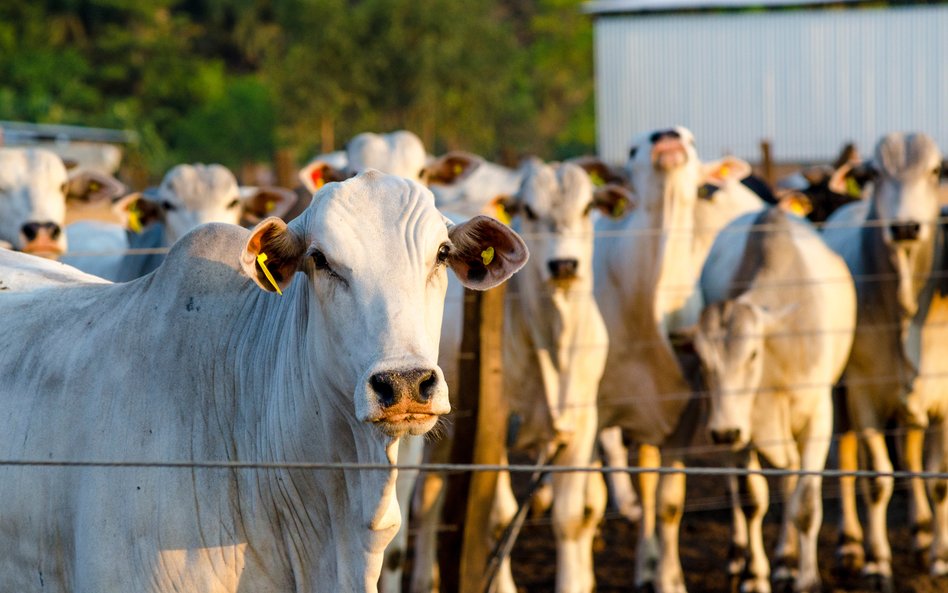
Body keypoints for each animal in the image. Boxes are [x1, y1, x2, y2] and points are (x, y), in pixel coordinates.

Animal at [596, 126, 768, 592]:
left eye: (689, 139)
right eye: (632, 148)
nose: (668, 135)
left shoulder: (686, 410)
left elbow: (671, 502)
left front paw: (671, 578)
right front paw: (648, 566)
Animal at [688, 208, 860, 592]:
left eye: (753, 354)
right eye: (701, 361)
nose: (722, 432)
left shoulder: (819, 418)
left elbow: (805, 505)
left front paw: (806, 579)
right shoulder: (740, 428)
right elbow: (752, 500)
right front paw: (755, 576)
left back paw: (788, 559)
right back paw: (763, 558)